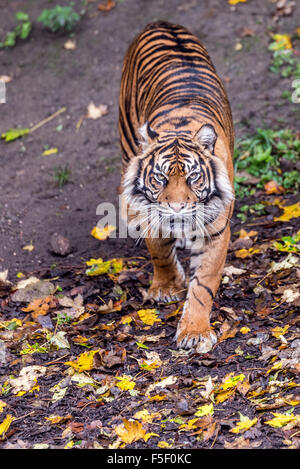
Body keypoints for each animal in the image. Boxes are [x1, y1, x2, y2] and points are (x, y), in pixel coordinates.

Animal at [118, 21, 234, 352]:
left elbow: (203, 284)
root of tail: (160, 22)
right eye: (160, 178)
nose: (177, 207)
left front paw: (194, 331)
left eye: (193, 177)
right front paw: (167, 287)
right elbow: (158, 249)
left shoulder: (216, 231)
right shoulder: (149, 212)